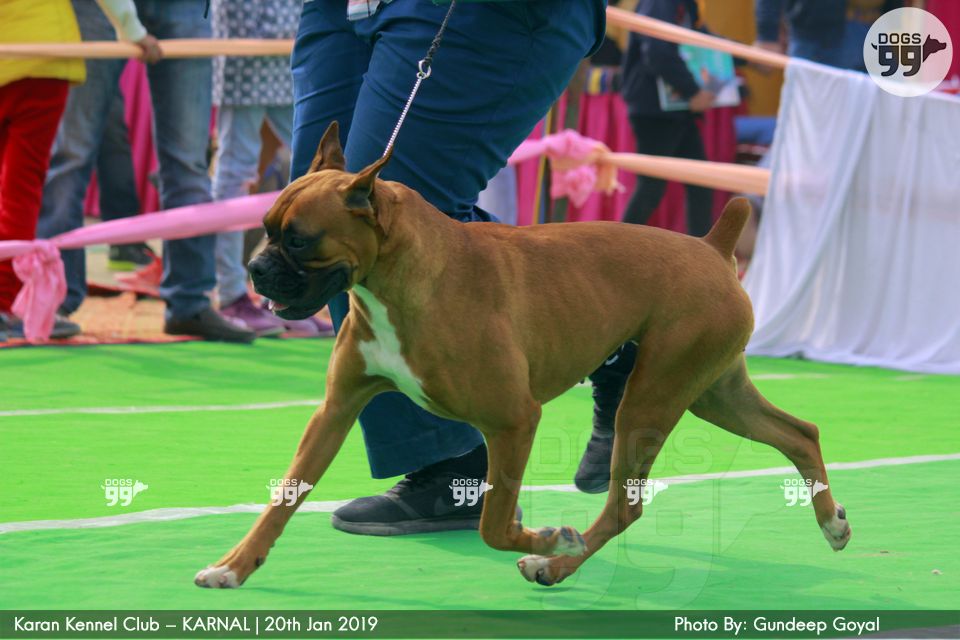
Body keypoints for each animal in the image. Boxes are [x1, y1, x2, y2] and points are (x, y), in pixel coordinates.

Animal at [194, 122, 851, 589]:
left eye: (299, 239)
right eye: (265, 227)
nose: (255, 269)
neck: (400, 274)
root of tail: (712, 248)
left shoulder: (513, 421)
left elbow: (492, 524)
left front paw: (551, 538)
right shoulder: (335, 412)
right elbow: (284, 497)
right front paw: (234, 566)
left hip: (652, 400)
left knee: (626, 504)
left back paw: (557, 561)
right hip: (714, 392)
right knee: (799, 433)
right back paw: (831, 522)